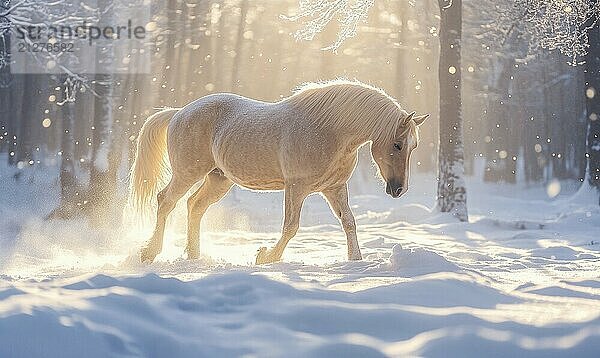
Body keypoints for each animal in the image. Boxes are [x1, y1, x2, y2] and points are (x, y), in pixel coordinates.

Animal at [130, 80, 432, 262]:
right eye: (397, 144)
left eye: (414, 146)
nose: (398, 189)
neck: (329, 131)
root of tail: (179, 112)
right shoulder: (296, 188)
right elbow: (291, 227)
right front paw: (266, 256)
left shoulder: (334, 188)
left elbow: (349, 222)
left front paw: (355, 260)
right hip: (187, 173)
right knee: (166, 201)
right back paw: (149, 252)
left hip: (219, 179)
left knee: (195, 206)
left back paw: (194, 255)